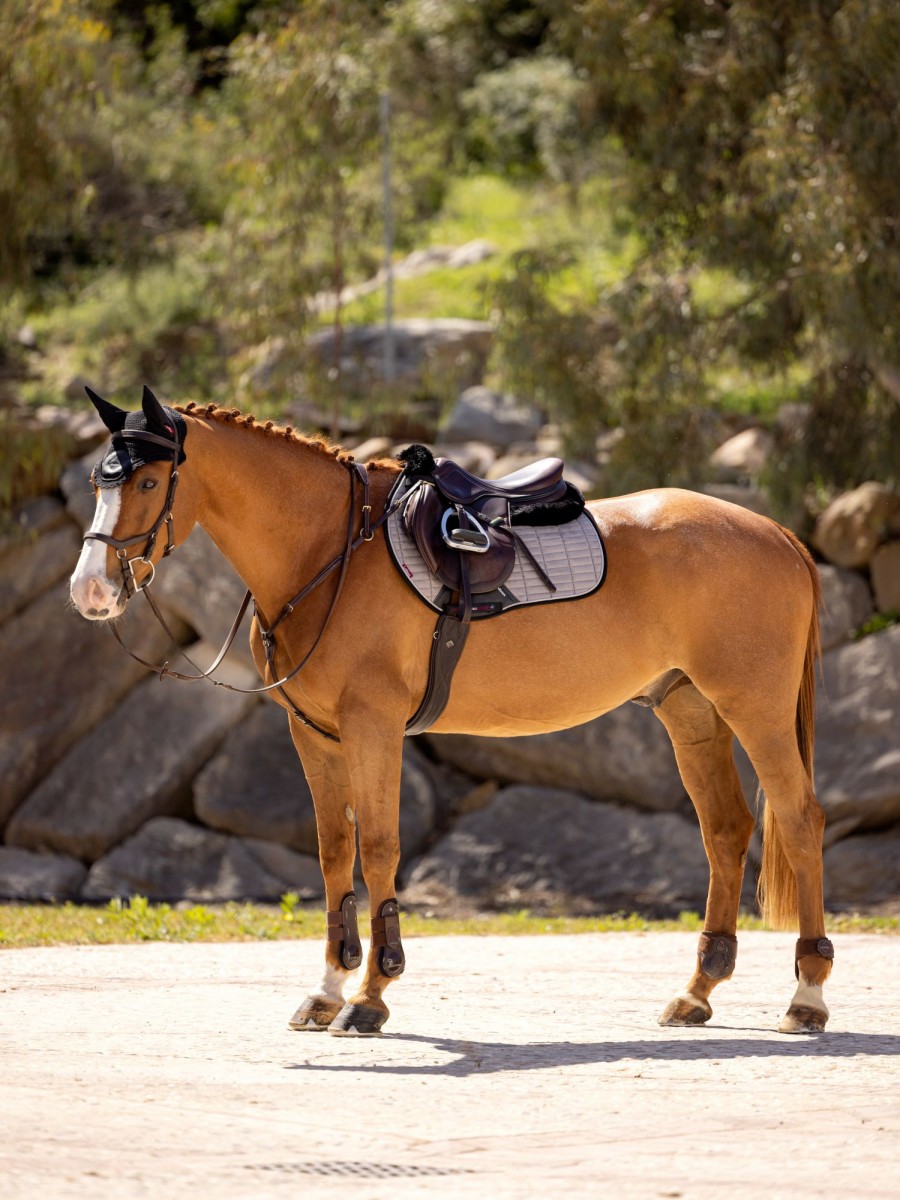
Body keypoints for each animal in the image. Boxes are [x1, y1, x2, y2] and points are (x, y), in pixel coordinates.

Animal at [66, 388, 835, 1036]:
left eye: (146, 482)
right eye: (100, 482)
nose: (90, 592)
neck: (331, 553)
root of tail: (778, 533)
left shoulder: (374, 729)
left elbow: (379, 849)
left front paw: (372, 995)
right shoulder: (314, 735)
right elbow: (334, 852)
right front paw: (328, 990)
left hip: (756, 711)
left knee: (798, 819)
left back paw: (807, 996)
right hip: (692, 712)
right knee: (726, 831)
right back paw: (697, 992)